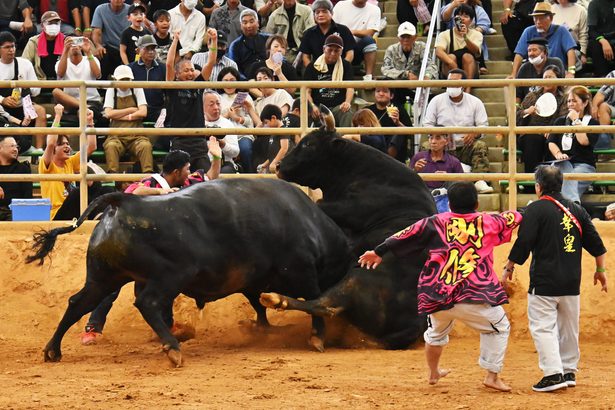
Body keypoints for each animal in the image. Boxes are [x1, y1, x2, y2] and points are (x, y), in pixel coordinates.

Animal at [27, 179, 352, 366]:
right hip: (171, 276)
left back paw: (53, 350)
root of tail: (126, 201)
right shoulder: (301, 270)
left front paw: (264, 329)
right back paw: (172, 348)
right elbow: (313, 301)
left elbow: (260, 305)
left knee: (78, 303)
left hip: (104, 277)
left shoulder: (254, 281)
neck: (310, 224)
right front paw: (317, 337)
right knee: (148, 303)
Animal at [262, 120, 438, 348]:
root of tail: (417, 323)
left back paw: (277, 299)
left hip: (354, 279)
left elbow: (319, 204)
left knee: (323, 305)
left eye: (309, 144)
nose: (278, 166)